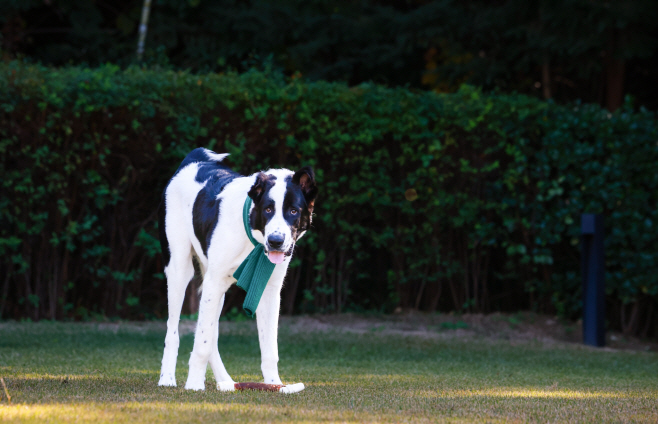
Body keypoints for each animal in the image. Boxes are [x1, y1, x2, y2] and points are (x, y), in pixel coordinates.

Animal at [156, 148, 316, 390]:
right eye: (268, 209)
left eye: (293, 211)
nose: (276, 241)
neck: (253, 237)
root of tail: (194, 159)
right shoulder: (212, 283)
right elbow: (201, 342)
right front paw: (194, 384)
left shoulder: (268, 291)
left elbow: (269, 348)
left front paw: (274, 384)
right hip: (179, 269)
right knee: (173, 331)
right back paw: (167, 378)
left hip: (215, 289)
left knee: (210, 335)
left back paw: (226, 382)